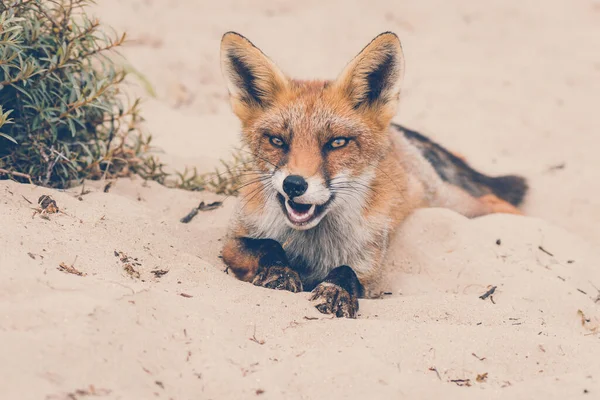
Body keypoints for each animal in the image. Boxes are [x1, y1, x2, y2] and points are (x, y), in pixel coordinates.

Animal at [219, 32, 524, 318]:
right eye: (277, 141)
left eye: (337, 143)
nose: (294, 185)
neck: (310, 246)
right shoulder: (232, 243)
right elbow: (268, 245)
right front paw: (280, 271)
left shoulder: (368, 269)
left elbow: (345, 271)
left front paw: (335, 291)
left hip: (451, 202)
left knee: (494, 200)